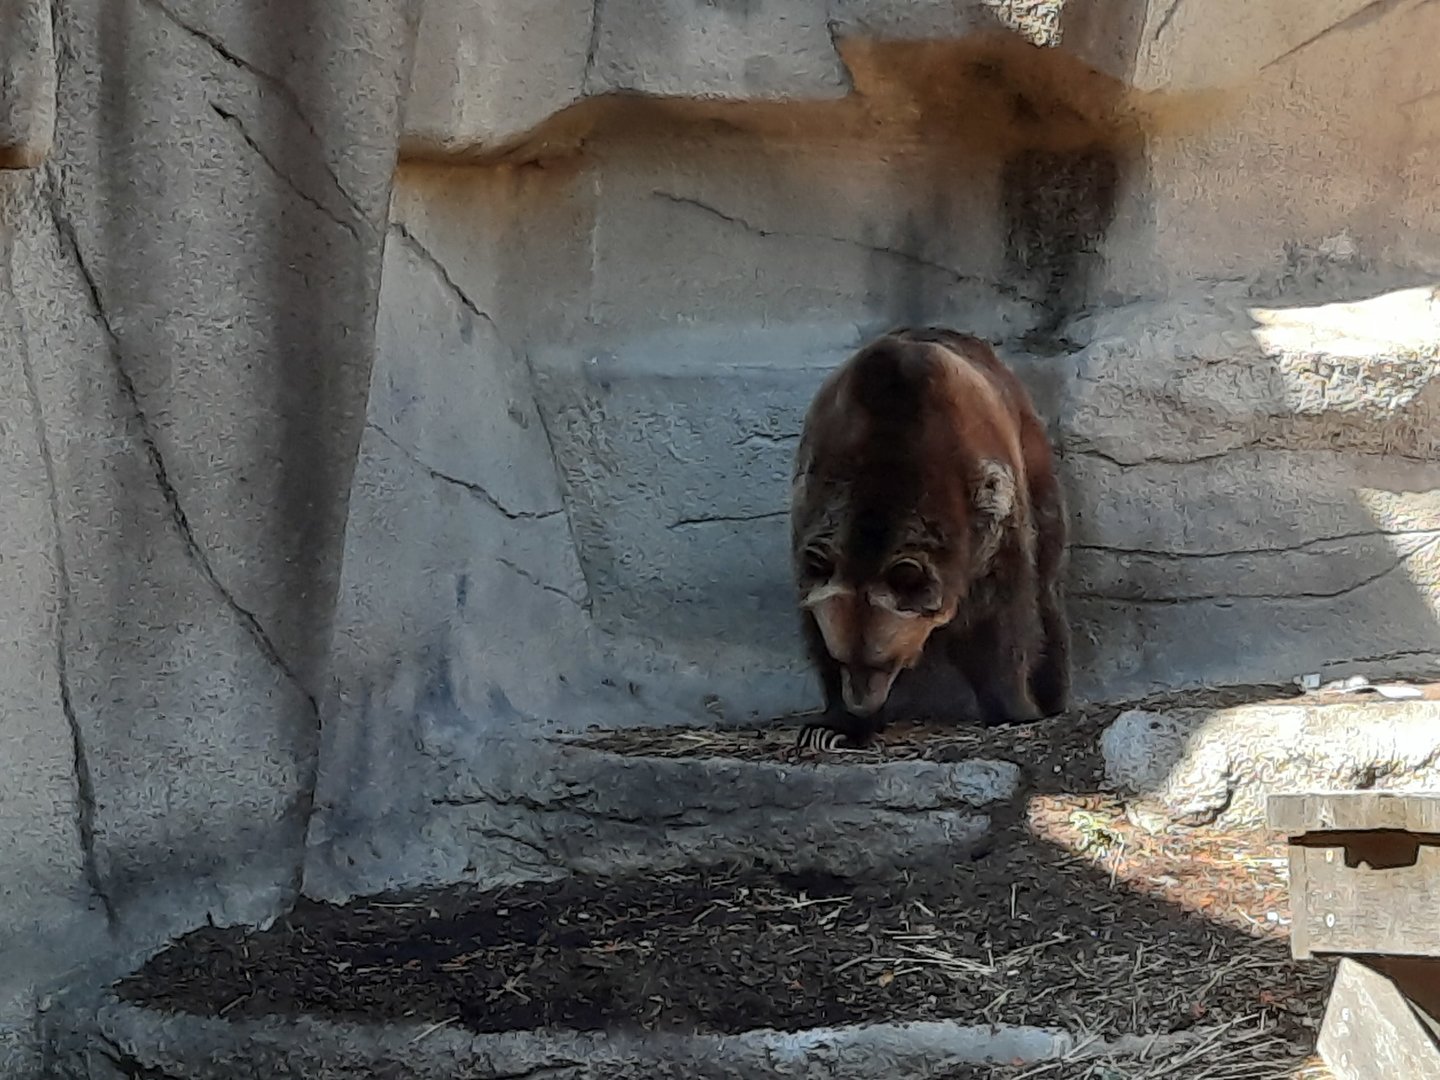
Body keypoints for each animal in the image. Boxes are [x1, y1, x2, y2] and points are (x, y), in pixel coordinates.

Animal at [789, 326, 1070, 750]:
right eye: (841, 658)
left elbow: (999, 617)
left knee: (1048, 580)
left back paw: (1055, 692)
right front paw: (831, 727)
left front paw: (1014, 707)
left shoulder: (987, 510)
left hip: (1032, 459)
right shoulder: (814, 497)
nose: (861, 705)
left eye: (885, 660)